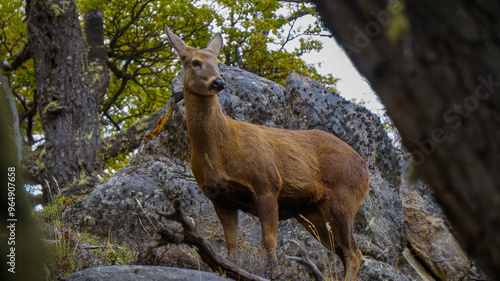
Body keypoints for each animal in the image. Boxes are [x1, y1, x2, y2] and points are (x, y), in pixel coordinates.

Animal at [166, 27, 370, 278]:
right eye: (195, 62)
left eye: (218, 62)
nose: (218, 82)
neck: (220, 147)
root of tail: (365, 168)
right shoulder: (218, 196)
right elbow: (231, 244)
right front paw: (232, 270)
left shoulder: (266, 184)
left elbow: (268, 240)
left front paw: (274, 273)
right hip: (311, 212)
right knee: (343, 251)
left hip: (344, 198)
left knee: (354, 252)